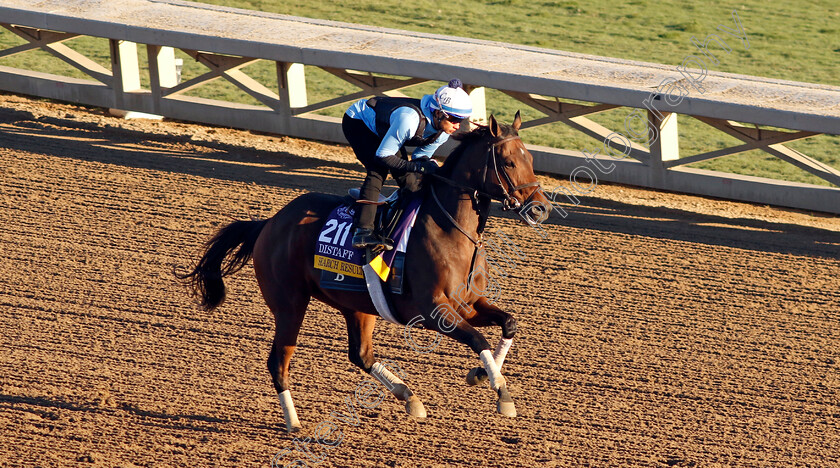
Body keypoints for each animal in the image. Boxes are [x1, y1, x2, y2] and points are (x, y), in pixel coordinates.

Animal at [177, 111, 552, 434]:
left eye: (532, 160)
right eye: (508, 161)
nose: (541, 208)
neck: (451, 231)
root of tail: (270, 223)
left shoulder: (469, 304)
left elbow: (508, 324)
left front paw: (481, 375)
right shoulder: (434, 311)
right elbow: (478, 339)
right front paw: (501, 392)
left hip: (357, 305)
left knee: (360, 354)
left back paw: (409, 398)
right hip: (289, 304)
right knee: (278, 361)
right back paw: (294, 423)